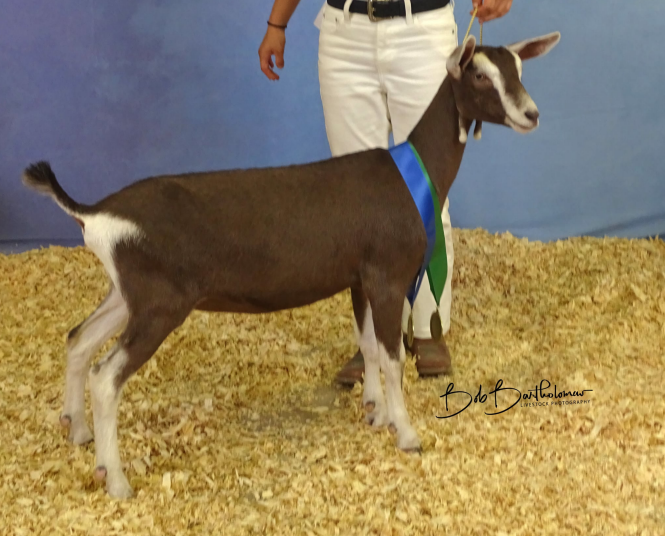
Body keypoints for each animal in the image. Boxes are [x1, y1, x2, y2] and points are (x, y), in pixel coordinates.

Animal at [23, 33, 560, 498]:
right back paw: (115, 480)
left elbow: (368, 345)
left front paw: (375, 413)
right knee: (106, 377)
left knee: (78, 340)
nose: (531, 114)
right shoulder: (388, 276)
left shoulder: (359, 277)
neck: (409, 172)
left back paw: (76, 432)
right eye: (480, 76)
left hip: (127, 293)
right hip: (160, 304)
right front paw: (407, 433)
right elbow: (391, 357)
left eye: (518, 68)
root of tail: (95, 213)